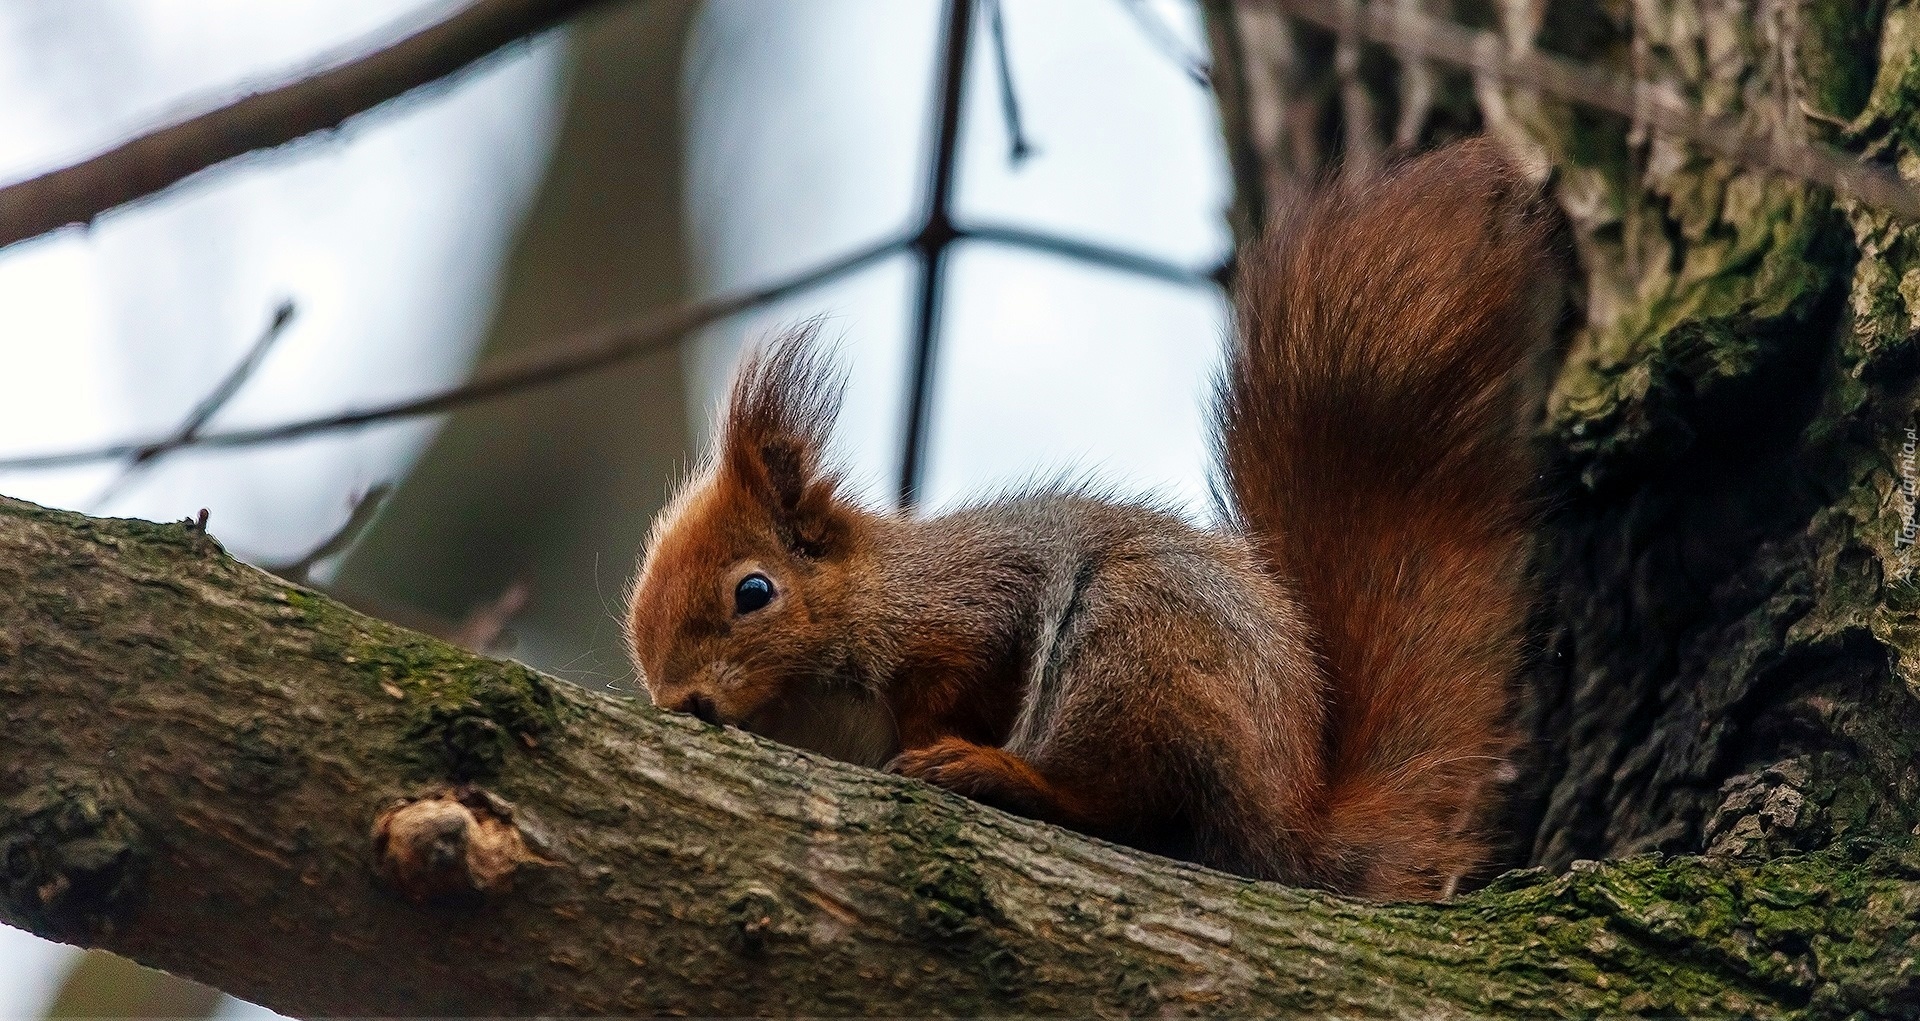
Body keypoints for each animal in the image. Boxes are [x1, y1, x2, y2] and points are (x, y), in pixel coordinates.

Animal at [629, 137, 1559, 902]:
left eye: (755, 591)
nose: (683, 700)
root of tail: (1285, 819)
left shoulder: (969, 606)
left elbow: (963, 675)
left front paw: (938, 740)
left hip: (1132, 657)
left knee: (1118, 806)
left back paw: (999, 773)